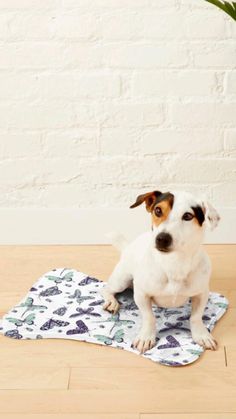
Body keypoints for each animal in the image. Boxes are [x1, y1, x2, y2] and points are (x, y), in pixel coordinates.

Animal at [102, 190, 220, 354]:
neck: (173, 263)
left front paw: (202, 335)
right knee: (106, 289)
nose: (162, 238)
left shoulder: (201, 293)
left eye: (188, 216)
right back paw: (111, 302)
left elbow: (196, 317)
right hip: (122, 279)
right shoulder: (141, 294)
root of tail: (128, 247)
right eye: (158, 210)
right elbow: (149, 317)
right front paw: (146, 337)